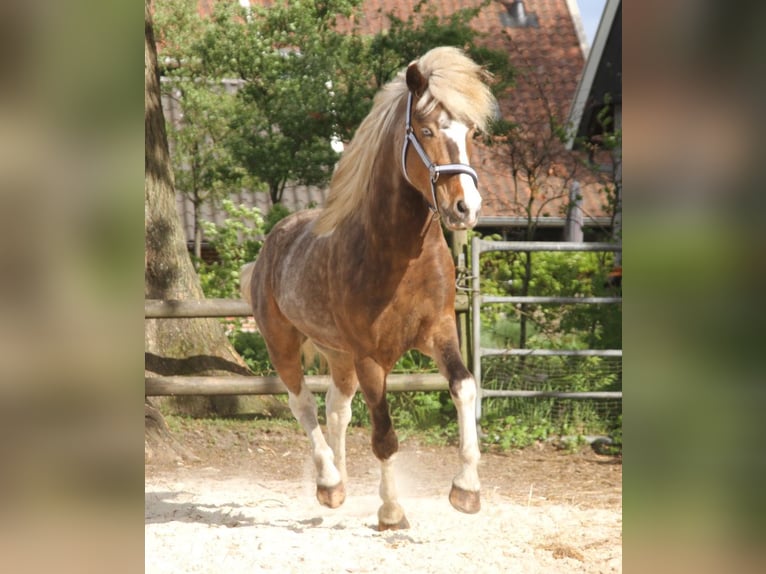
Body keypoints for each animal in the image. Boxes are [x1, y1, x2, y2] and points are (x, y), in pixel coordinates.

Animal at [240, 47, 496, 530]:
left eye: (471, 131)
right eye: (427, 129)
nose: (465, 208)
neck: (398, 256)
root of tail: (271, 246)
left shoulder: (438, 333)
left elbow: (464, 388)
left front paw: (468, 491)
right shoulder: (371, 358)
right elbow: (384, 434)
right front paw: (392, 511)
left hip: (339, 356)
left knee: (335, 408)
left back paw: (340, 486)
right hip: (284, 344)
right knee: (303, 405)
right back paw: (328, 484)